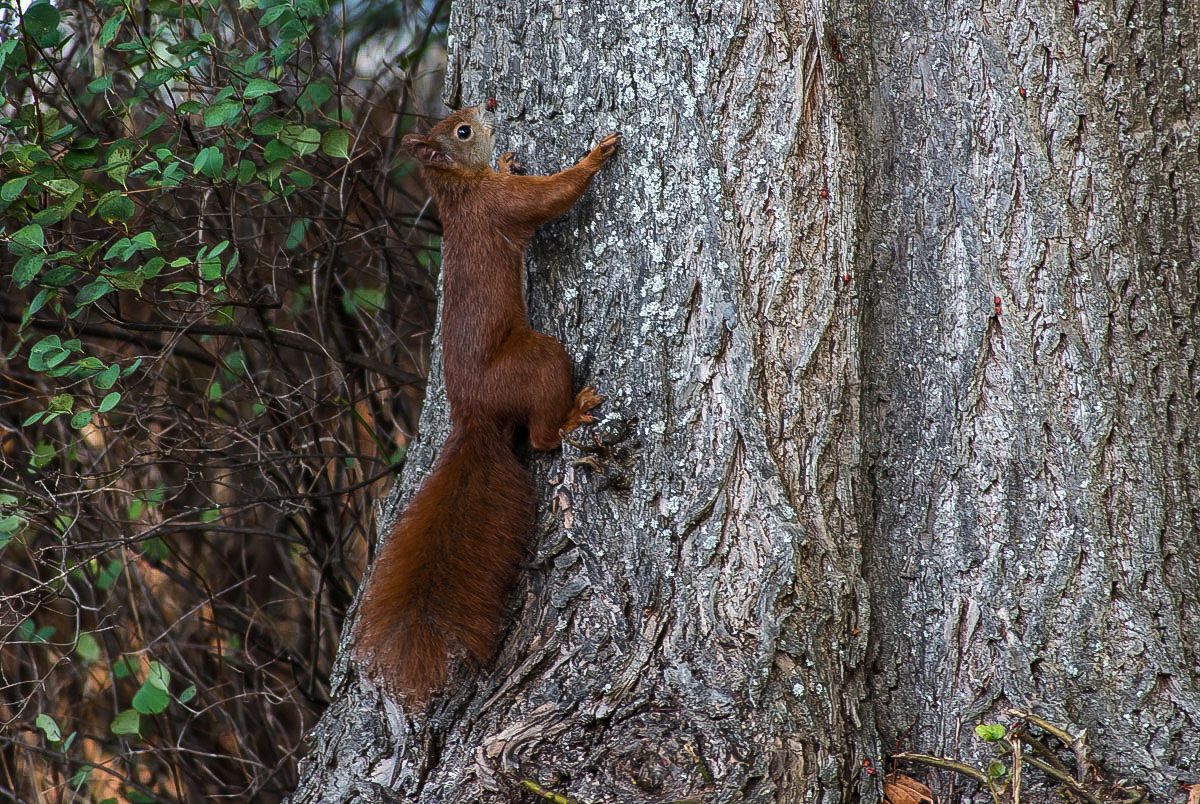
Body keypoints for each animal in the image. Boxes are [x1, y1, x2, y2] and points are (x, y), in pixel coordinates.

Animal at [354, 103, 621, 701]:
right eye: (463, 131)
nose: (489, 107)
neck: (461, 190)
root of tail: (474, 415)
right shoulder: (505, 204)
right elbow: (550, 197)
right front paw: (594, 156)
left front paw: (507, 156)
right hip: (538, 362)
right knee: (541, 437)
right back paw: (574, 412)